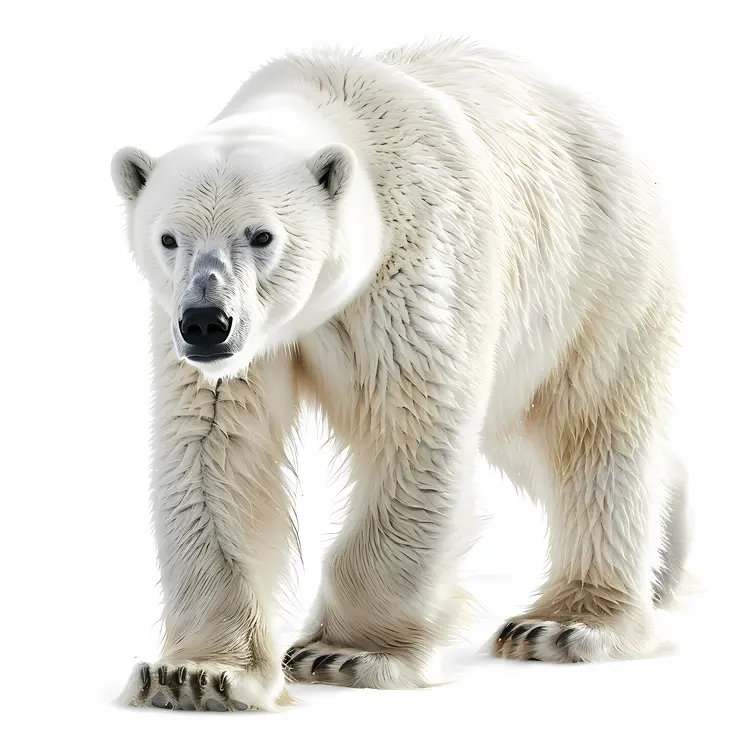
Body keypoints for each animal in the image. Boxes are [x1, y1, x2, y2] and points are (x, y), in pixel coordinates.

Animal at [111, 39, 687, 711]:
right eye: (167, 237)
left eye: (262, 235)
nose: (206, 322)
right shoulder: (228, 355)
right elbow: (213, 447)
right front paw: (194, 675)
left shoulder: (418, 264)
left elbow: (411, 428)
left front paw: (346, 653)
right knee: (524, 436)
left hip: (598, 271)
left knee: (591, 426)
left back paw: (563, 623)